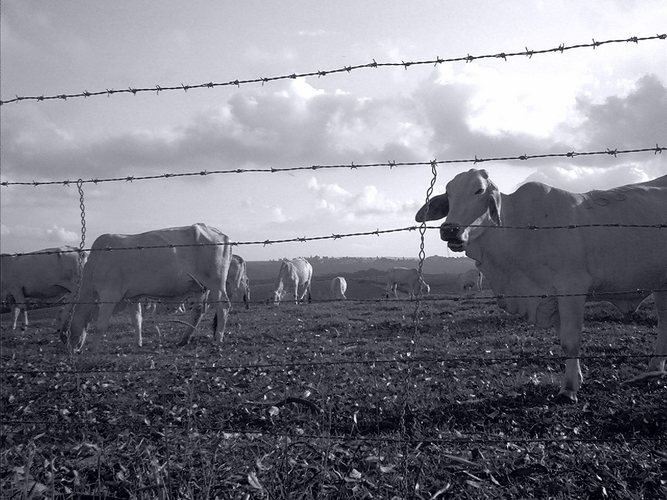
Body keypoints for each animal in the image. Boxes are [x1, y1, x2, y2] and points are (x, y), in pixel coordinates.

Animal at [57, 224, 235, 352]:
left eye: (66, 333)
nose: (71, 350)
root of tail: (221, 234)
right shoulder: (132, 298)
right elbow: (137, 321)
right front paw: (138, 343)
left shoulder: (109, 295)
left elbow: (101, 325)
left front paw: (93, 349)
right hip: (200, 287)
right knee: (198, 311)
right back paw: (184, 340)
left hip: (215, 283)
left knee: (223, 306)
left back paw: (218, 339)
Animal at [418, 168, 667, 402]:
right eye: (449, 194)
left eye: (478, 190)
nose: (449, 229)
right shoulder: (550, 297)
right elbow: (563, 339)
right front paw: (577, 378)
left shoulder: (571, 288)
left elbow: (570, 341)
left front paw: (569, 389)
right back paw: (654, 369)